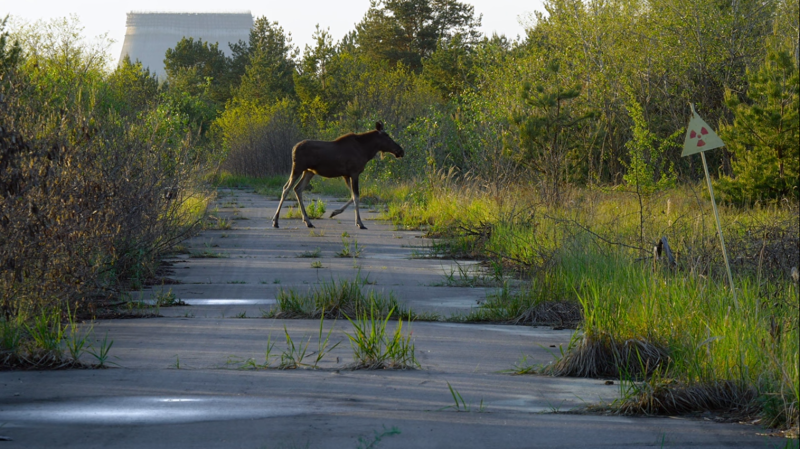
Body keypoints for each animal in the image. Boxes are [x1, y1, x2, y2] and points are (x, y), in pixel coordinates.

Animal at [272, 121, 404, 229]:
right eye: (387, 137)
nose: (401, 151)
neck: (366, 151)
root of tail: (293, 148)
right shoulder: (354, 173)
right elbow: (356, 196)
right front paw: (360, 223)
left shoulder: (346, 175)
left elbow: (353, 196)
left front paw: (334, 212)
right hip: (297, 168)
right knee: (286, 188)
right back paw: (276, 221)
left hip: (309, 172)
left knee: (297, 189)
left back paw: (308, 222)